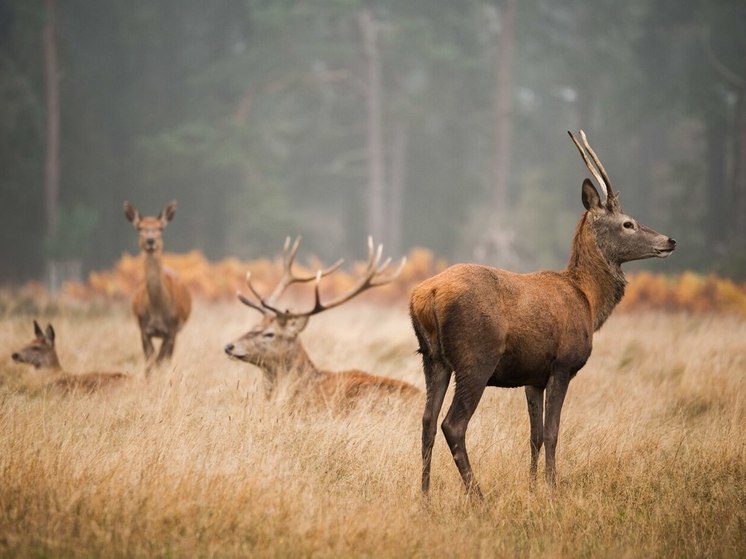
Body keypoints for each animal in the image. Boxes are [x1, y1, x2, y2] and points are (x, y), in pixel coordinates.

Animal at [123, 199, 192, 370]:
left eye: (160, 227)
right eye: (140, 227)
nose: (150, 241)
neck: (157, 312)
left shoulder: (172, 328)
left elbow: (161, 361)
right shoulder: (143, 328)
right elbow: (149, 362)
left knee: (166, 359)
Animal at [410, 131, 676, 498]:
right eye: (628, 223)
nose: (669, 240)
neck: (588, 300)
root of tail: (427, 296)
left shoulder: (532, 376)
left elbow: (533, 435)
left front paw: (533, 486)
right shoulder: (562, 364)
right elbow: (552, 432)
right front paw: (552, 488)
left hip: (432, 358)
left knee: (426, 421)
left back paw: (425, 495)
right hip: (475, 358)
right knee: (453, 424)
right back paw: (478, 496)